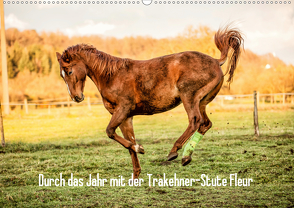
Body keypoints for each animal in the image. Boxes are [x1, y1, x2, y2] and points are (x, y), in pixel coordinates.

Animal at [55, 24, 243, 177]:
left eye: (69, 71)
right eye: (62, 75)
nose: (76, 97)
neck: (112, 76)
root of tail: (216, 61)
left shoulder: (123, 109)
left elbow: (110, 132)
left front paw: (141, 148)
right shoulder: (126, 117)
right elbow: (128, 142)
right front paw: (136, 174)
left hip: (189, 97)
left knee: (195, 121)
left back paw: (174, 152)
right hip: (202, 102)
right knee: (205, 124)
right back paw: (186, 157)